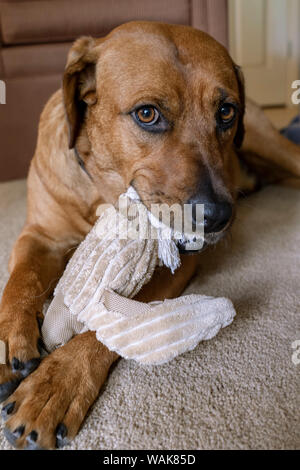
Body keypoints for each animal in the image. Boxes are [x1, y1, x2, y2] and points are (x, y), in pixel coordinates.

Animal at [1, 21, 300, 448]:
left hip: (266, 141)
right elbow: (20, 281)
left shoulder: (175, 266)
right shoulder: (39, 235)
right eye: (147, 114)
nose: (217, 217)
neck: (104, 192)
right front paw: (11, 338)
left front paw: (55, 384)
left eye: (226, 111)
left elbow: (114, 319)